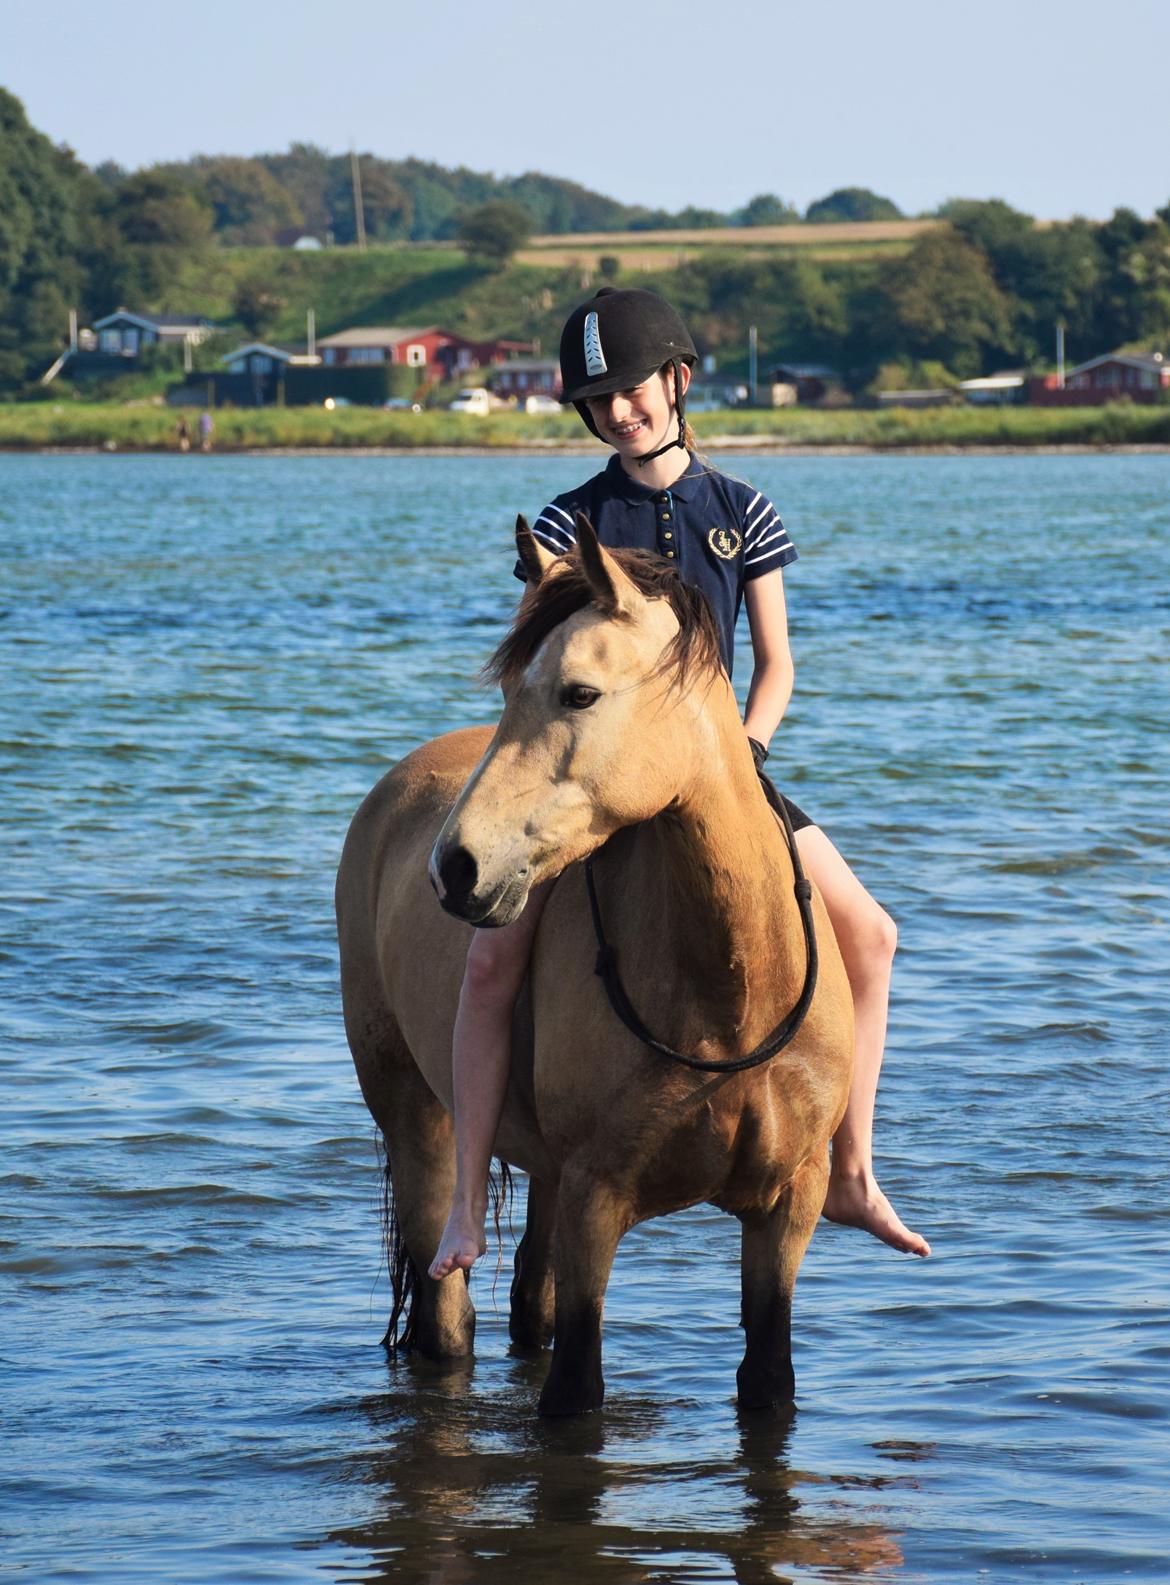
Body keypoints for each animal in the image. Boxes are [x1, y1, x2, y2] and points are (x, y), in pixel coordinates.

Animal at [332, 513, 849, 1420]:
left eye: (579, 693)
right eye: (508, 690)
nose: (454, 868)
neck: (731, 996)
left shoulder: (789, 1207)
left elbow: (767, 1380)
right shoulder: (595, 1200)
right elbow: (574, 1388)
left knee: (526, 1302)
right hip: (419, 1124)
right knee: (446, 1319)